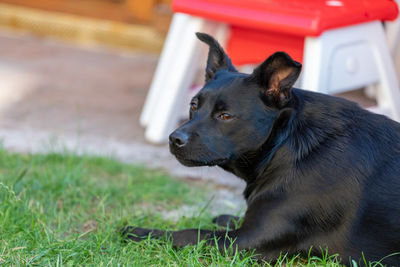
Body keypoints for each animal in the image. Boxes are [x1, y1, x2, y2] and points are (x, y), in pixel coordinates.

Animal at [125, 33, 400, 266]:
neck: (284, 145)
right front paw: (227, 218)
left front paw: (140, 232)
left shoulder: (249, 241)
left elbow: (192, 233)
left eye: (225, 116)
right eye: (194, 105)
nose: (174, 139)